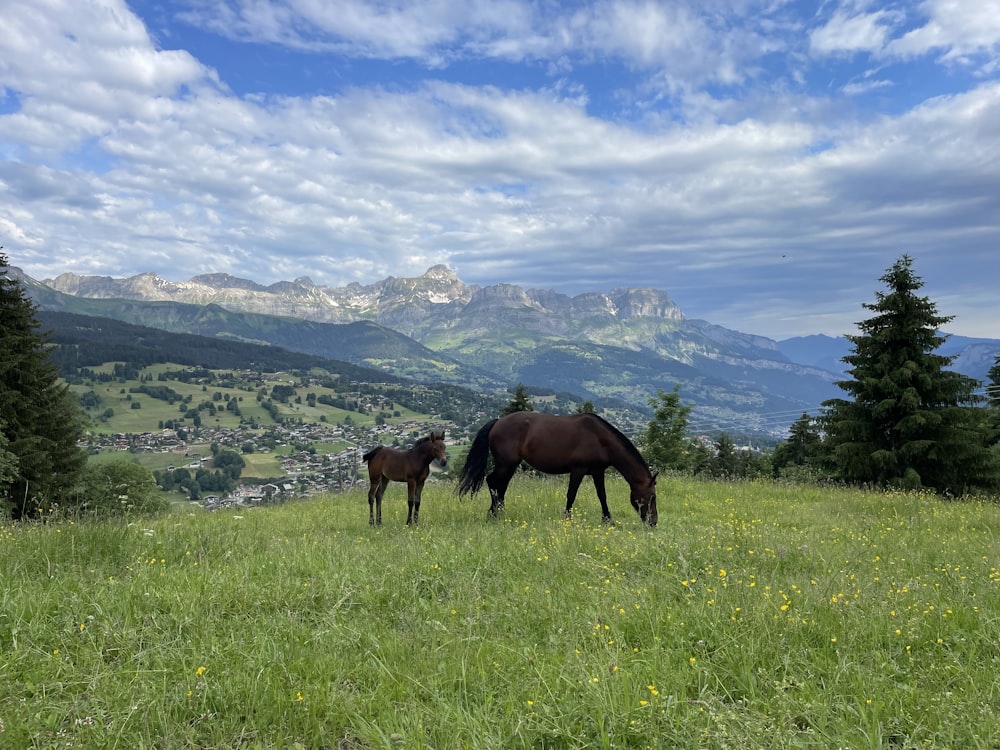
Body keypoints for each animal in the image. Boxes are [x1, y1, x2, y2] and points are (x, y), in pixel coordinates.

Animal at [458, 412, 660, 528]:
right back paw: (494, 514)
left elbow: (602, 495)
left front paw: (608, 520)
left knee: (500, 486)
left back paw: (499, 512)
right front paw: (567, 520)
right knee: (493, 482)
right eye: (651, 497)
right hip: (506, 464)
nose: (653, 522)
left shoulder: (597, 471)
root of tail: (497, 422)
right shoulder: (578, 470)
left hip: (509, 465)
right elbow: (571, 495)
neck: (599, 439)